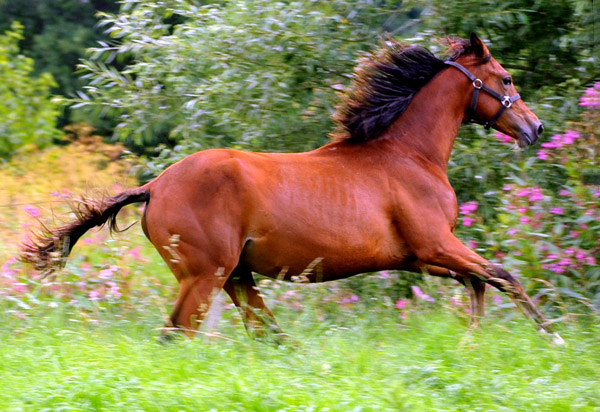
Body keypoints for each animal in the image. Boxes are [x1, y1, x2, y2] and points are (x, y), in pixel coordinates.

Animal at [18, 32, 564, 342]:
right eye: (505, 78)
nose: (535, 128)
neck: (408, 154)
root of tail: (154, 186)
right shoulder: (436, 244)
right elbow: (504, 275)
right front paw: (551, 339)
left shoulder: (421, 256)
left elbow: (480, 281)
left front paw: (470, 341)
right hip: (205, 277)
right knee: (179, 335)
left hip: (236, 277)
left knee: (263, 334)